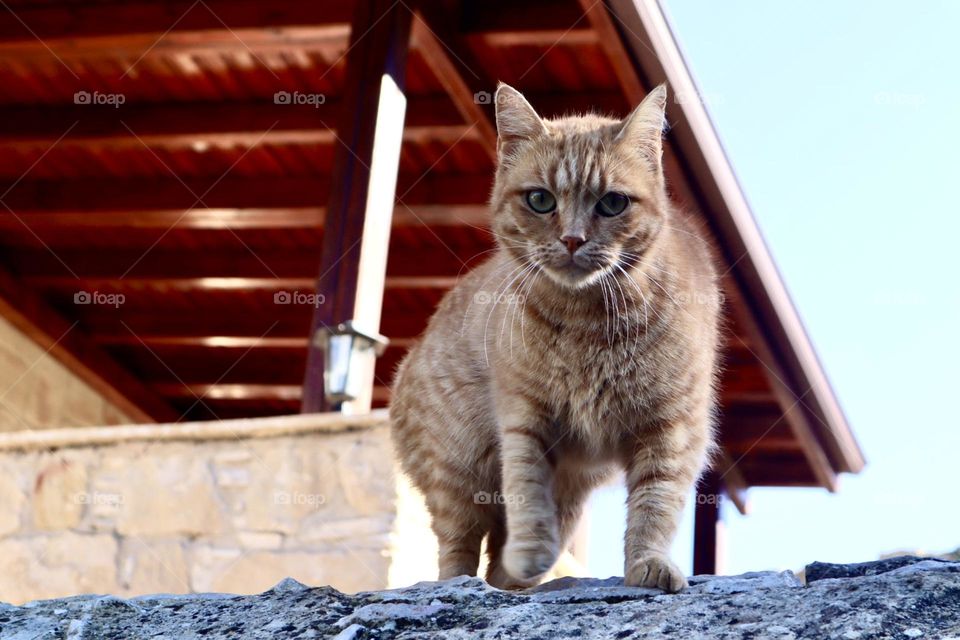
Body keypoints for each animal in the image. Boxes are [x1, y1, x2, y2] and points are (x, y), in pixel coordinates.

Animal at [392, 82, 720, 592]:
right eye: (541, 200)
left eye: (612, 203)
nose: (571, 239)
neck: (588, 323)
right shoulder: (525, 421)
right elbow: (528, 496)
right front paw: (529, 554)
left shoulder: (673, 429)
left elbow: (655, 505)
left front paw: (649, 563)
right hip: (458, 472)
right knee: (458, 548)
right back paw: (464, 582)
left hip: (570, 494)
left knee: (498, 562)